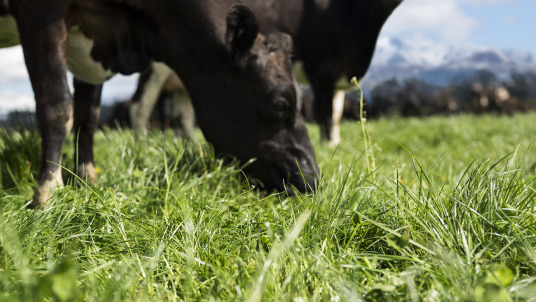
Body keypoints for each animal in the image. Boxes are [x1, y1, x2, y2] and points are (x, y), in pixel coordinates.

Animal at [0, 0, 318, 208]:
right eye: (280, 103)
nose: (312, 178)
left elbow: (87, 116)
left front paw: (88, 182)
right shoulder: (41, 15)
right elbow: (57, 107)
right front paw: (47, 194)